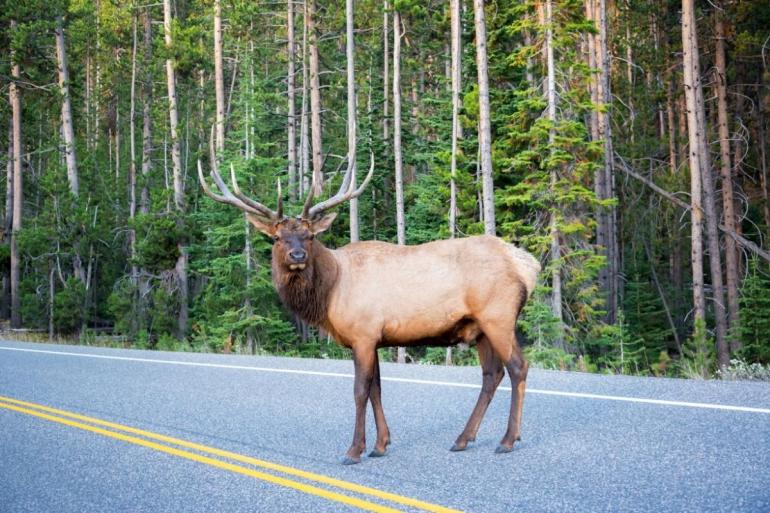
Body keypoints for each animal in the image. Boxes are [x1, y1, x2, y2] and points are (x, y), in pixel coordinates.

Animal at [198, 144, 540, 464]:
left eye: (309, 236)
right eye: (278, 238)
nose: (297, 255)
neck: (330, 292)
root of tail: (528, 265)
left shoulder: (362, 335)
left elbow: (360, 391)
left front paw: (353, 450)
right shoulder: (373, 338)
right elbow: (377, 389)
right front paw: (380, 445)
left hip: (498, 316)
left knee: (518, 367)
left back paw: (508, 440)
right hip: (478, 328)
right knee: (491, 375)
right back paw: (463, 438)